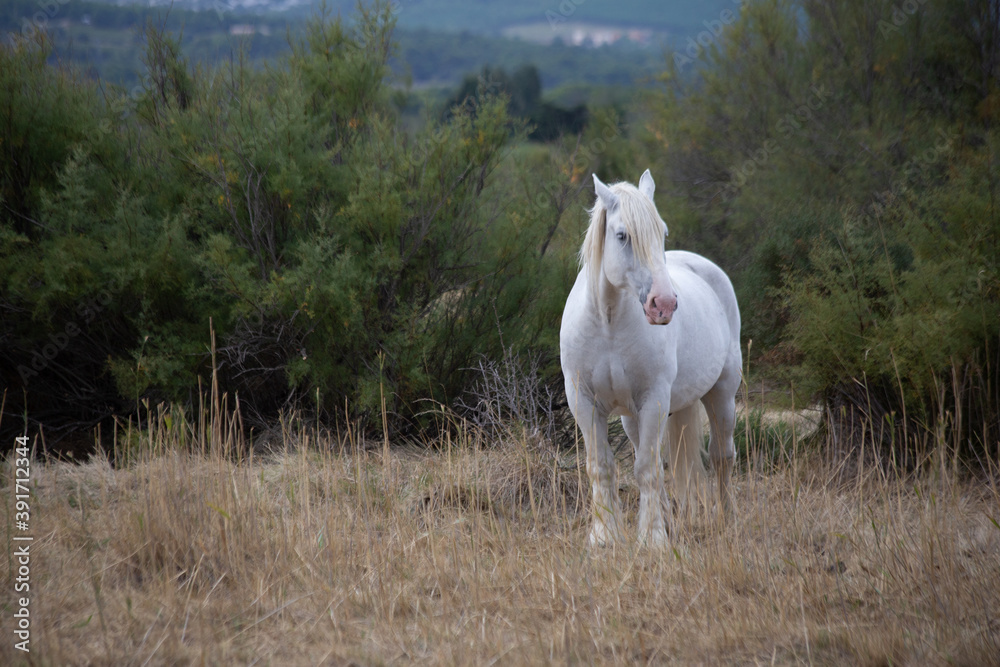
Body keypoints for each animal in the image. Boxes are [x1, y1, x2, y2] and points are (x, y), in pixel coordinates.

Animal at [559, 170, 742, 548]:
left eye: (662, 232)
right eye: (622, 235)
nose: (665, 304)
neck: (609, 324)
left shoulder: (654, 399)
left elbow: (646, 469)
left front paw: (652, 539)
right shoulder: (583, 401)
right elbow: (602, 466)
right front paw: (604, 536)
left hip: (721, 395)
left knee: (722, 457)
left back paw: (726, 518)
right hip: (633, 417)